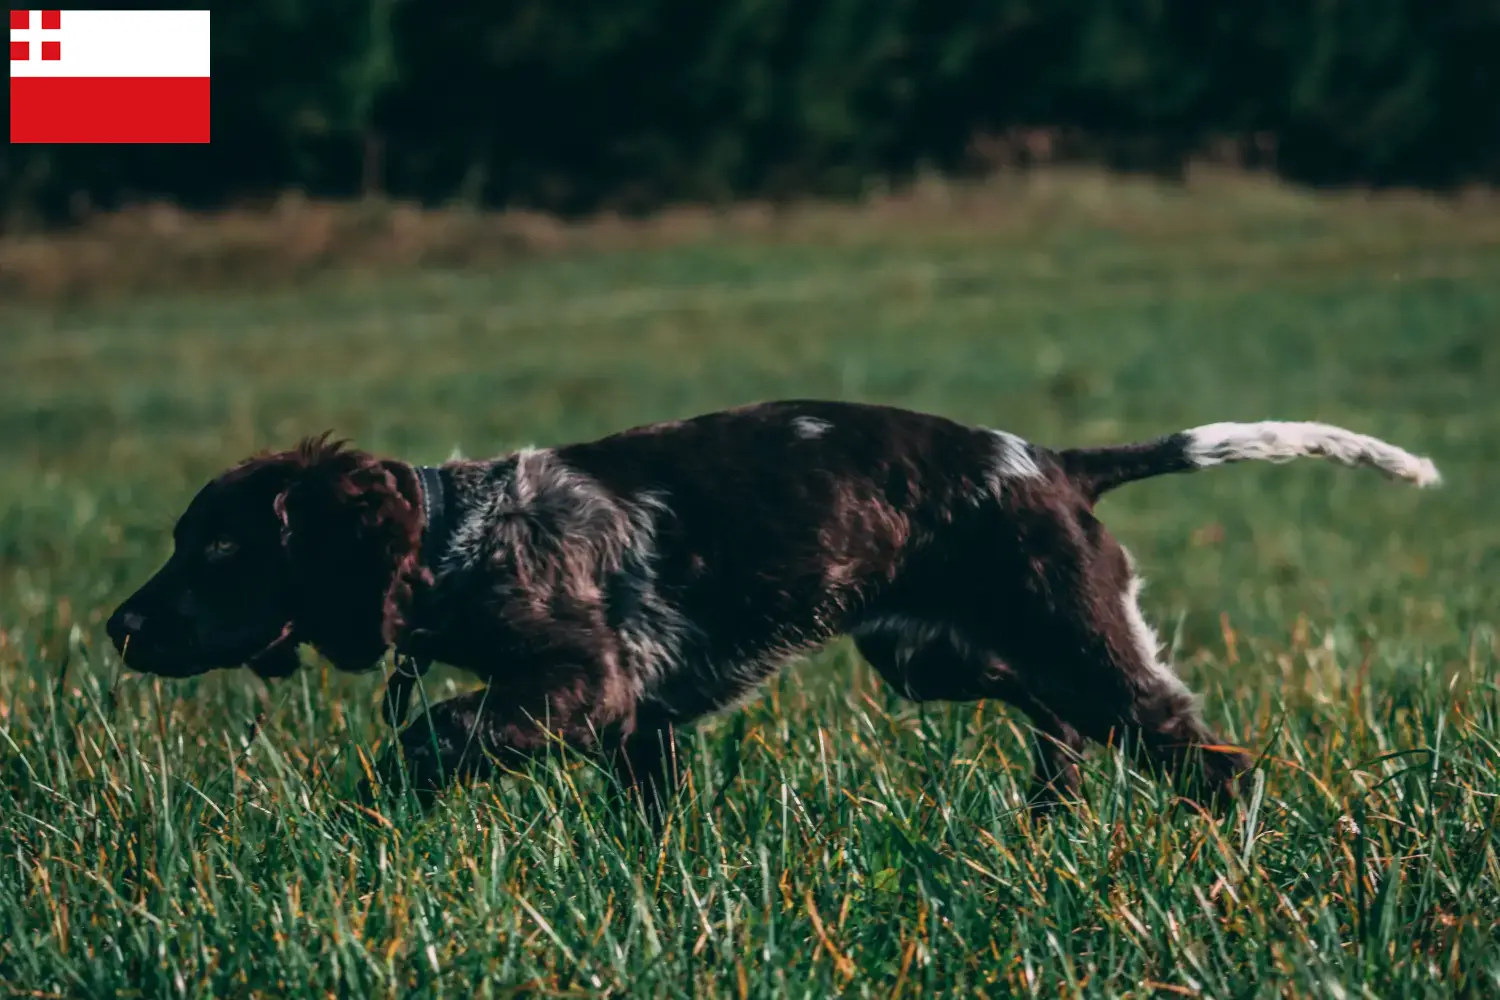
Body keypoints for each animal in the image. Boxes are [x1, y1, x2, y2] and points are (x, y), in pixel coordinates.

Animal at [108, 398, 1440, 815]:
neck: (455, 537)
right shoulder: (637, 726)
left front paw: (382, 808)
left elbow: (435, 731)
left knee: (1212, 760)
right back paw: (1046, 816)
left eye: (217, 546)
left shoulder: (582, 680)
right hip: (940, 654)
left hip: (1075, 643)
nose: (117, 628)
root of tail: (1057, 465)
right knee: (1063, 723)